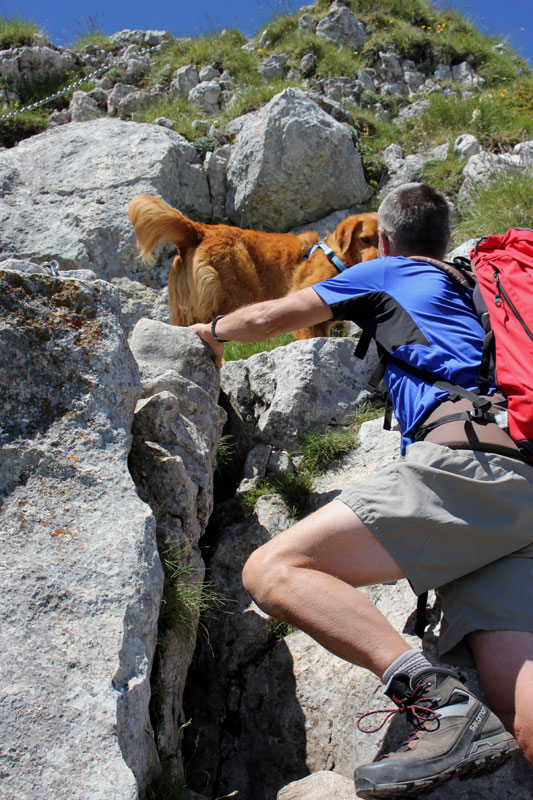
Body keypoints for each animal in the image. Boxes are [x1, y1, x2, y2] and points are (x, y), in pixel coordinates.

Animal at [128, 194, 378, 338]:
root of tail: (200, 230)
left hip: (185, 312)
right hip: (239, 292)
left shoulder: (322, 324)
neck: (337, 257)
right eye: (365, 239)